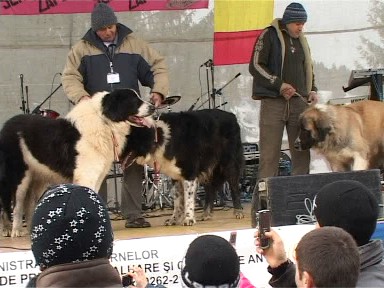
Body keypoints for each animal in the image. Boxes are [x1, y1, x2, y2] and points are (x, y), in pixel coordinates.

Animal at [0, 89, 154, 237]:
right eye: (134, 100)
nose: (153, 107)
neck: (104, 121)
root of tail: (7, 124)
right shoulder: (86, 176)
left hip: (39, 177)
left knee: (29, 204)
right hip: (19, 176)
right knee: (17, 205)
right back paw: (15, 230)